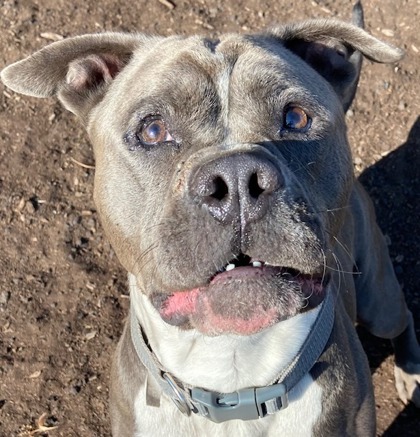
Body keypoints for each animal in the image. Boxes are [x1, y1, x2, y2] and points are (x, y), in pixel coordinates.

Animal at [1, 1, 418, 434]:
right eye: (152, 130)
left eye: (296, 118)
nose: (237, 178)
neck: (232, 377)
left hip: (378, 300)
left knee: (402, 315)